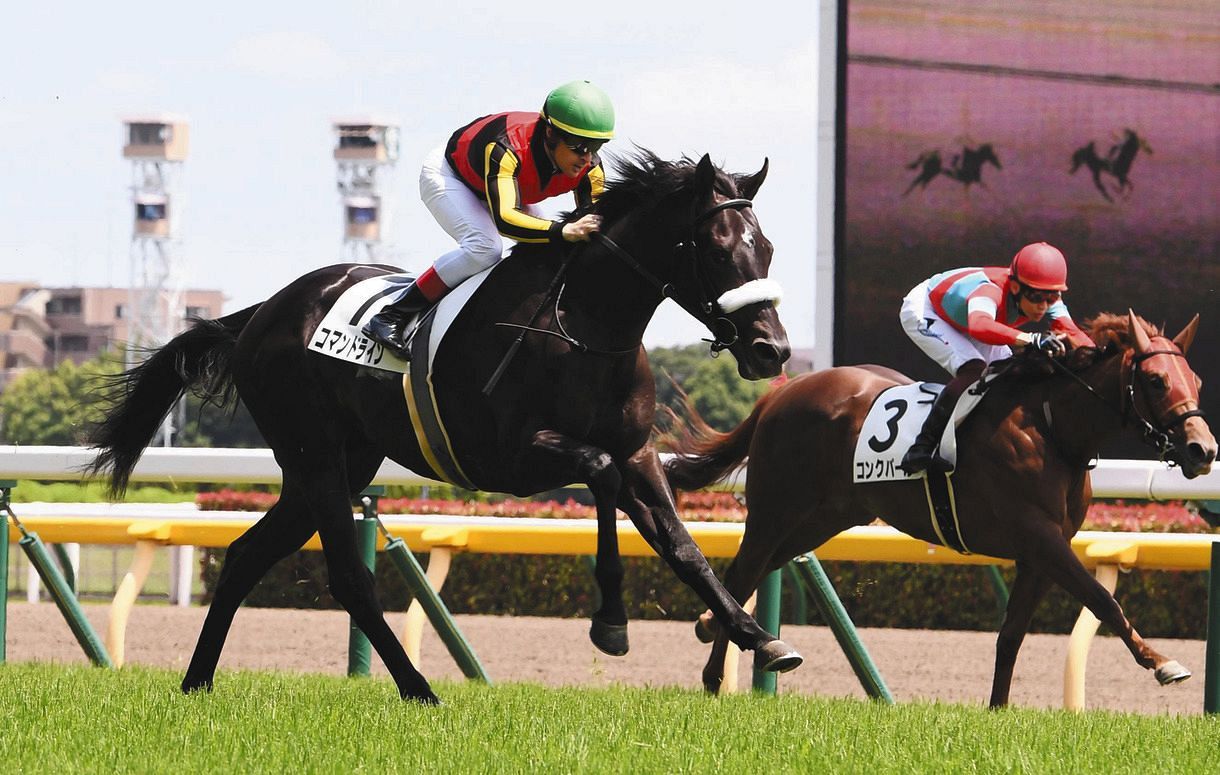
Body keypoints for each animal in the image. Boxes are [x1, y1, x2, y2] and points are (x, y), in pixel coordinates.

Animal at [87, 150, 804, 704]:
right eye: (716, 248)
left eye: (766, 247)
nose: (771, 349)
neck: (586, 327)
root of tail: (261, 313)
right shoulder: (511, 456)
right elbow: (598, 476)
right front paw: (611, 623)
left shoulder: (638, 454)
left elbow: (681, 545)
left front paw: (759, 638)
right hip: (315, 456)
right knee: (348, 578)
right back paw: (418, 688)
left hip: (335, 463)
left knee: (242, 556)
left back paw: (197, 681)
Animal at [664, 311, 1215, 706]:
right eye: (1157, 382)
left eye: (1196, 380)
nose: (1202, 450)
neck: (1052, 427)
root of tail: (781, 395)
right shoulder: (1040, 537)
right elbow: (1103, 600)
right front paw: (1162, 663)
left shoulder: (1038, 552)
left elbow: (1011, 635)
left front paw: (998, 709)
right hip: (775, 509)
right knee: (742, 573)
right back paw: (715, 676)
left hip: (825, 518)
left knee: (757, 571)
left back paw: (712, 628)